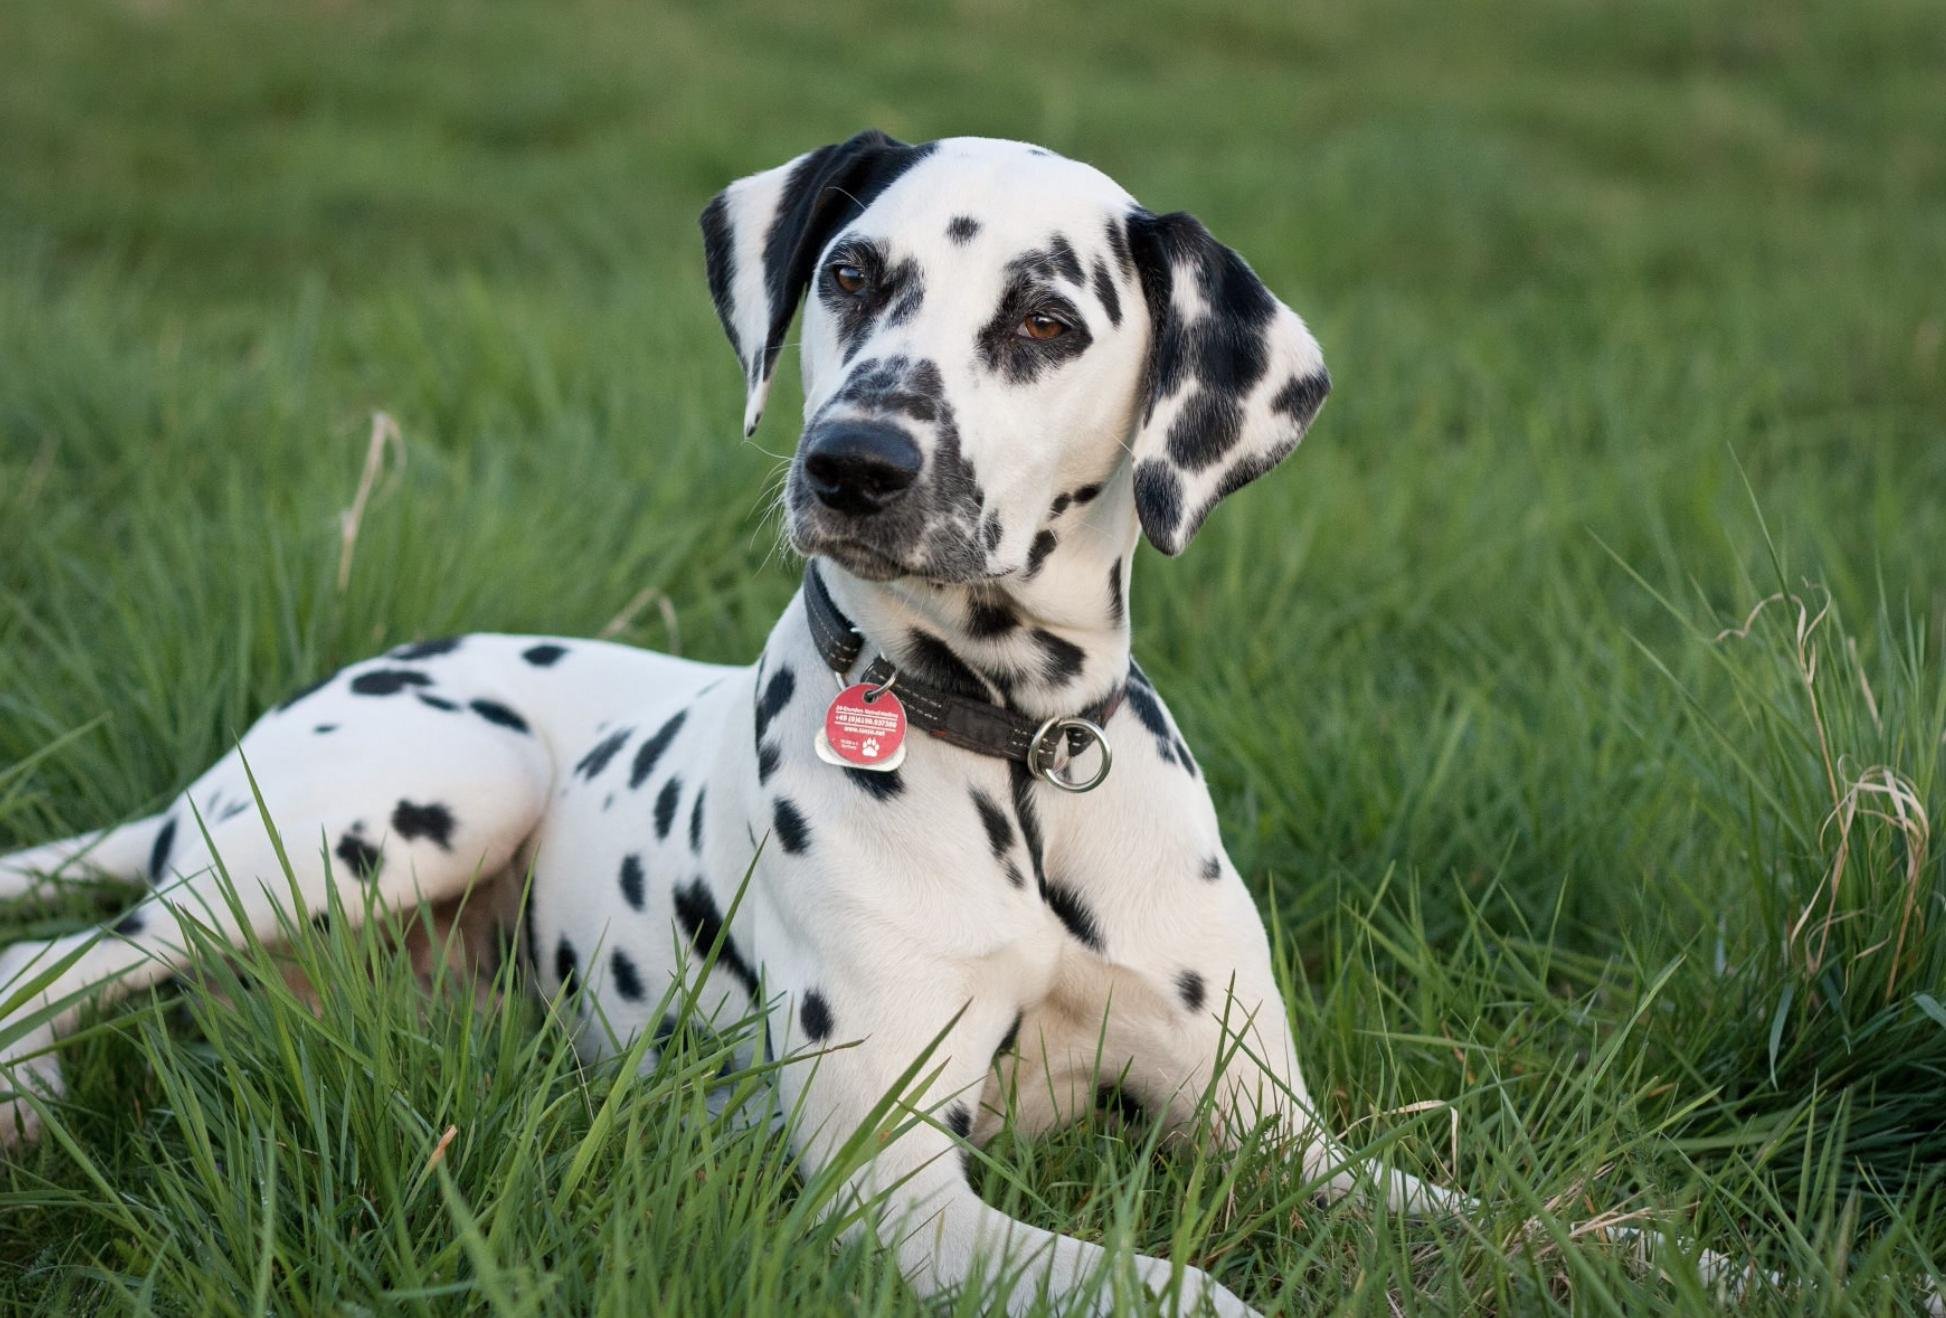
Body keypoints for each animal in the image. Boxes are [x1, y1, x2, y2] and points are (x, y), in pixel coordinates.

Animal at [0, 133, 1463, 1316]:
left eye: (1046, 321)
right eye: (852, 274)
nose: (854, 464)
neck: (1015, 753)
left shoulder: (1267, 1123)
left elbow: (1429, 1202)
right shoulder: (901, 1187)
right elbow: (1177, 1282)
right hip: (425, 793)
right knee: (57, 958)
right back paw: (27, 1096)